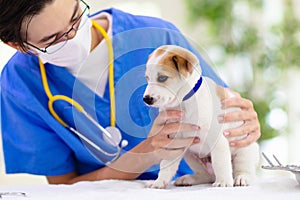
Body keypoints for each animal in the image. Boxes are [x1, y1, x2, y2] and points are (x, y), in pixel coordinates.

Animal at [144, 45, 260, 189]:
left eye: (162, 78)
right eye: (147, 78)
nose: (146, 99)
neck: (183, 104)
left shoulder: (218, 140)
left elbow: (220, 163)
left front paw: (223, 182)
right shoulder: (173, 143)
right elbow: (166, 165)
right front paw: (159, 182)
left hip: (245, 149)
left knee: (243, 168)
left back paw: (241, 178)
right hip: (190, 155)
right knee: (206, 176)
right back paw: (190, 179)